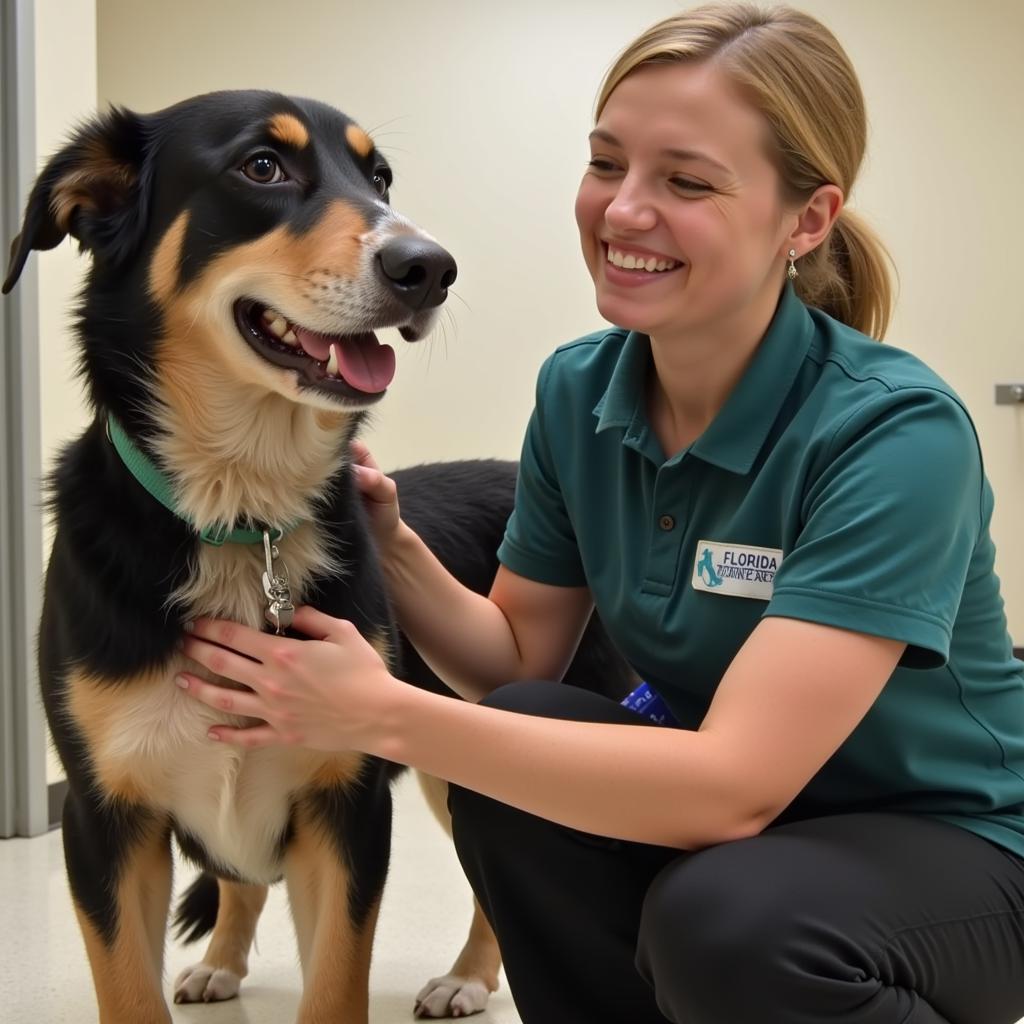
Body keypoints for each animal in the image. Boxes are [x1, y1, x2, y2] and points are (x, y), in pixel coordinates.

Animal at [4, 92, 634, 1019]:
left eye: (380, 178)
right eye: (262, 166)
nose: (430, 267)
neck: (242, 517)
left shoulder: (348, 808)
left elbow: (337, 979)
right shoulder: (104, 818)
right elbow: (131, 985)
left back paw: (469, 976)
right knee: (240, 880)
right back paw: (223, 962)